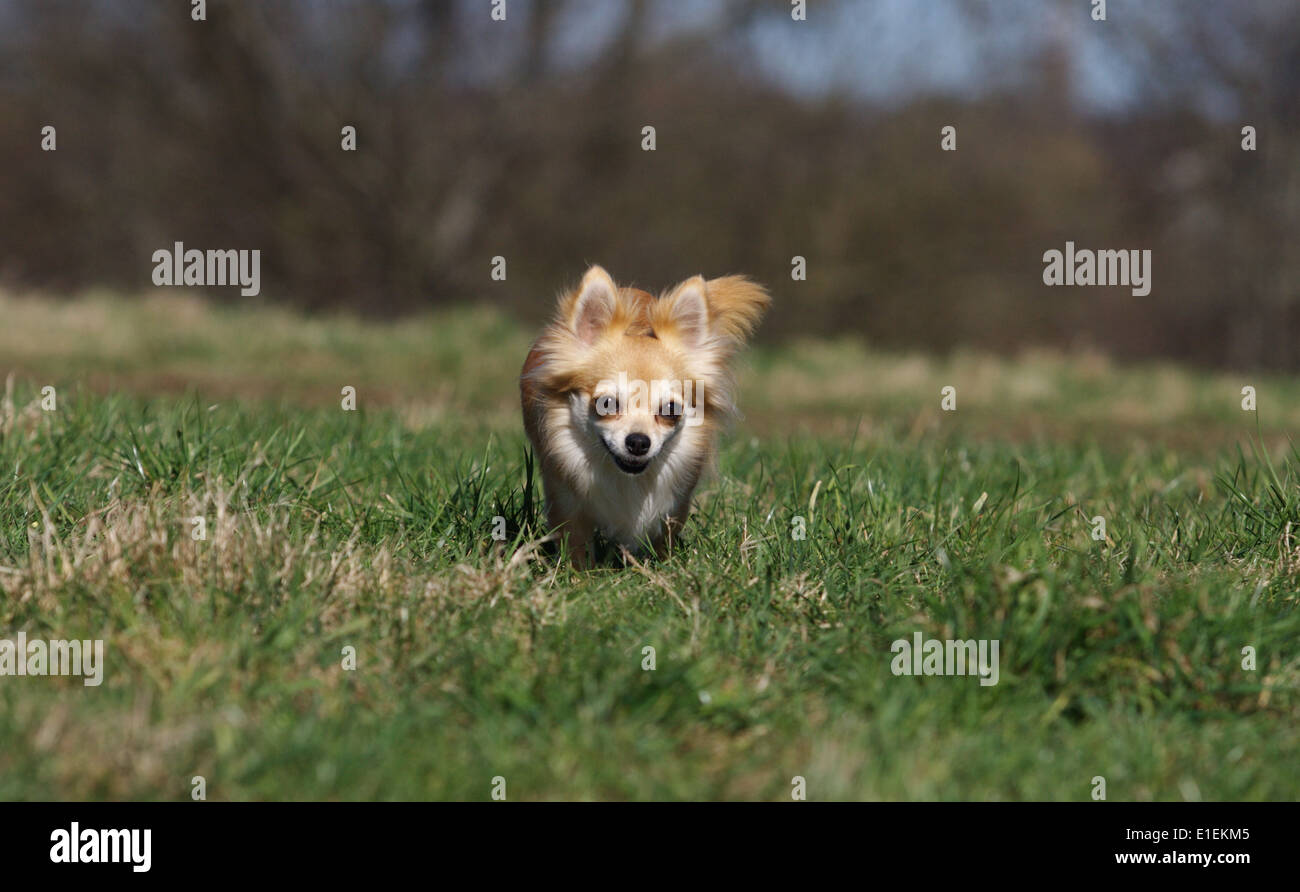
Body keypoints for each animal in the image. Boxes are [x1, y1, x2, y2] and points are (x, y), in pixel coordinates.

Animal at [517, 265, 764, 566]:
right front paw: (578, 575)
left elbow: (664, 539)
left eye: (670, 410)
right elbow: (575, 547)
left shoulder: (675, 503)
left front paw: (664, 569)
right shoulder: (565, 500)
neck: (627, 480)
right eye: (607, 404)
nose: (638, 442)